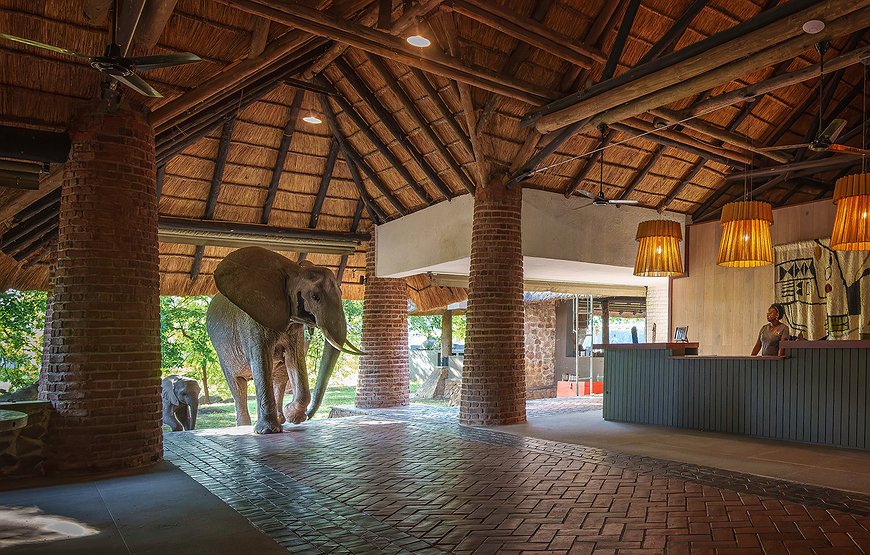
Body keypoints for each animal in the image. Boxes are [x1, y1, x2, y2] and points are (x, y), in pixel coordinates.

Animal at [205, 246, 363, 434]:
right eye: (315, 297)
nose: (308, 416)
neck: (294, 270)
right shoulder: (253, 319)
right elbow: (261, 360)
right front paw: (268, 430)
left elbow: (294, 360)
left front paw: (293, 417)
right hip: (222, 351)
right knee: (238, 384)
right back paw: (245, 426)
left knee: (279, 378)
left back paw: (279, 419)